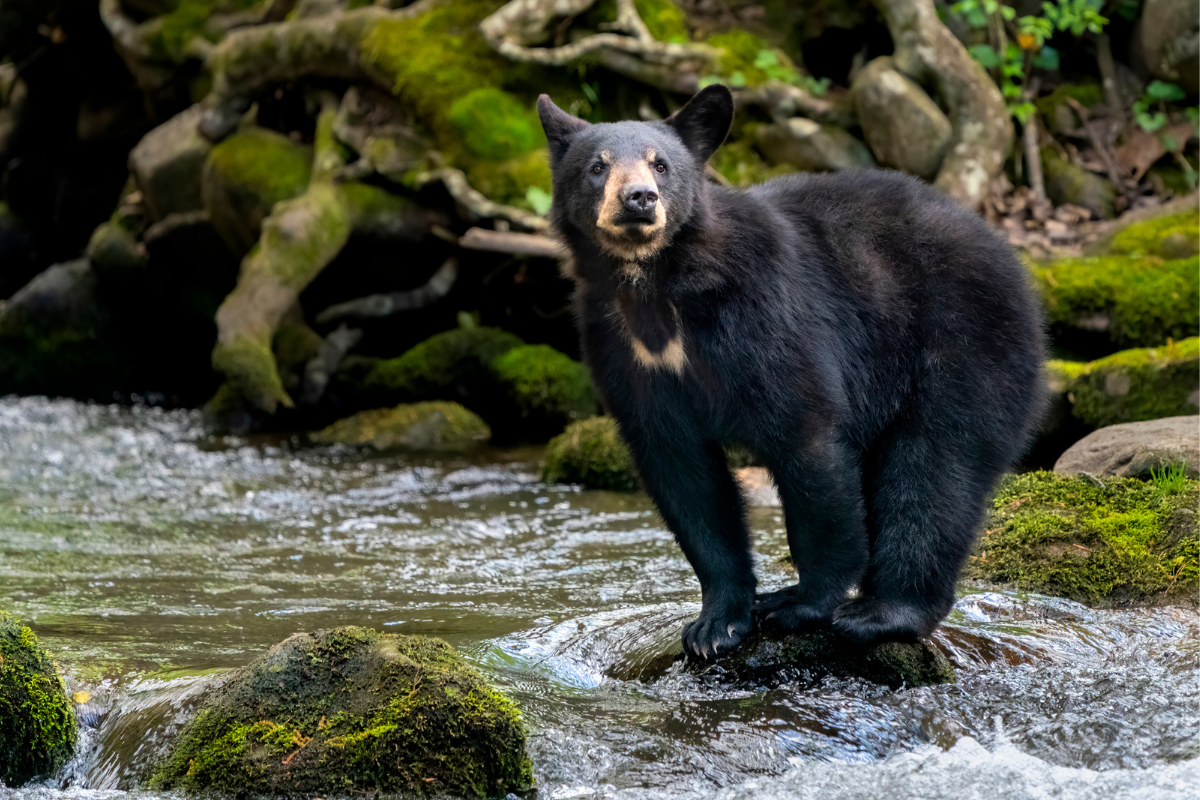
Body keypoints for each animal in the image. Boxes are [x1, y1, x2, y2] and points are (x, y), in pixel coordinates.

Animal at [540, 84, 1046, 662]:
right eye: (597, 166)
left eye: (661, 164)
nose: (639, 199)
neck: (656, 286)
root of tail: (1012, 259)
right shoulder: (622, 350)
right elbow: (683, 472)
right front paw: (715, 624)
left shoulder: (763, 312)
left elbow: (806, 436)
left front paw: (802, 604)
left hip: (962, 342)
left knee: (937, 466)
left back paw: (883, 612)